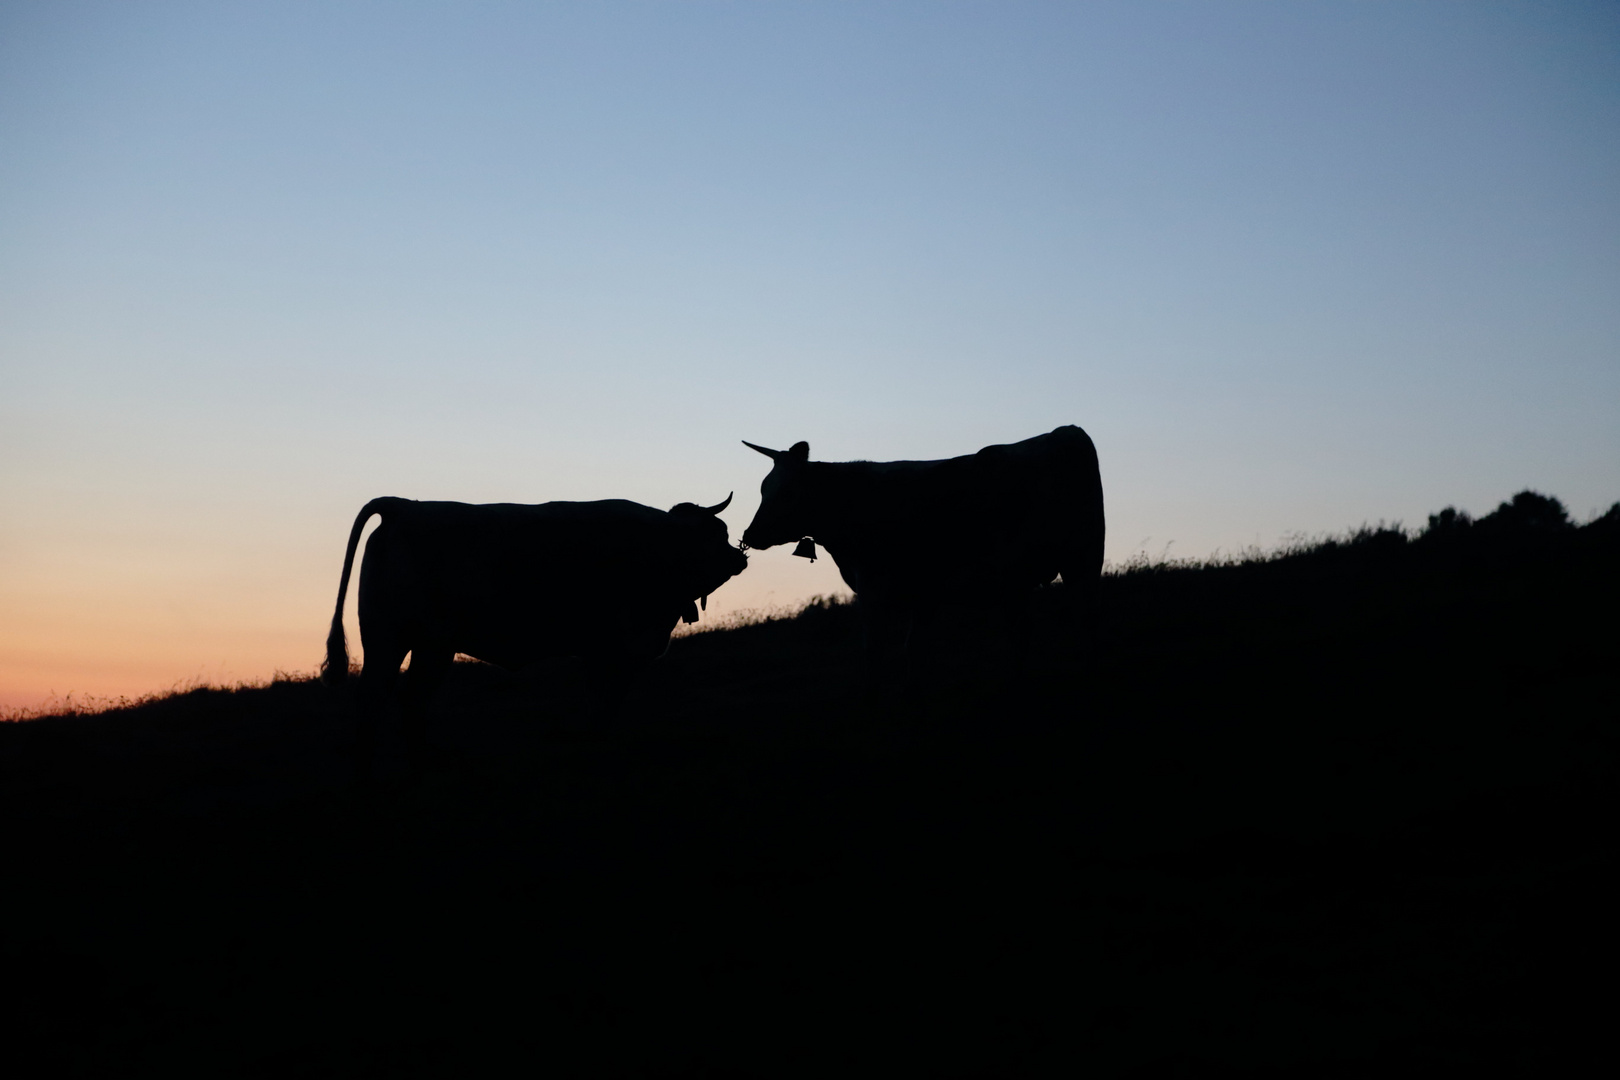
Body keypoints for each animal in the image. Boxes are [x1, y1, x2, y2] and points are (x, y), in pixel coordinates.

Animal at [320, 495, 745, 764]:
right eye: (717, 534)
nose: (739, 558)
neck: (664, 547)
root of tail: (404, 507)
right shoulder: (617, 647)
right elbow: (606, 698)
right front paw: (598, 739)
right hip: (408, 642)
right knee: (386, 695)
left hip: (410, 643)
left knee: (397, 696)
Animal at [741, 427, 1101, 663]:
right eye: (762, 488)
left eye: (786, 491)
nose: (750, 534)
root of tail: (1066, 431)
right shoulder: (924, 591)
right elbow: (913, 647)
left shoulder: (873, 585)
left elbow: (874, 647)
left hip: (1084, 561)